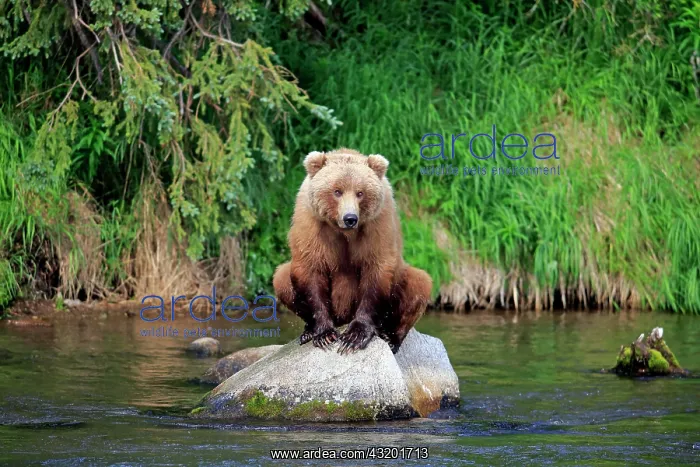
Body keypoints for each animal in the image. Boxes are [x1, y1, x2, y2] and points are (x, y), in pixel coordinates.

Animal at [273, 148, 433, 354]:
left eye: (360, 193)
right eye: (337, 191)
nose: (350, 218)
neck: (343, 232)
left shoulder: (378, 224)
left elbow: (377, 270)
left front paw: (354, 336)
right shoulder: (311, 223)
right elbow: (310, 269)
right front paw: (324, 334)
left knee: (419, 283)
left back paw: (390, 337)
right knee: (282, 278)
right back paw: (307, 332)